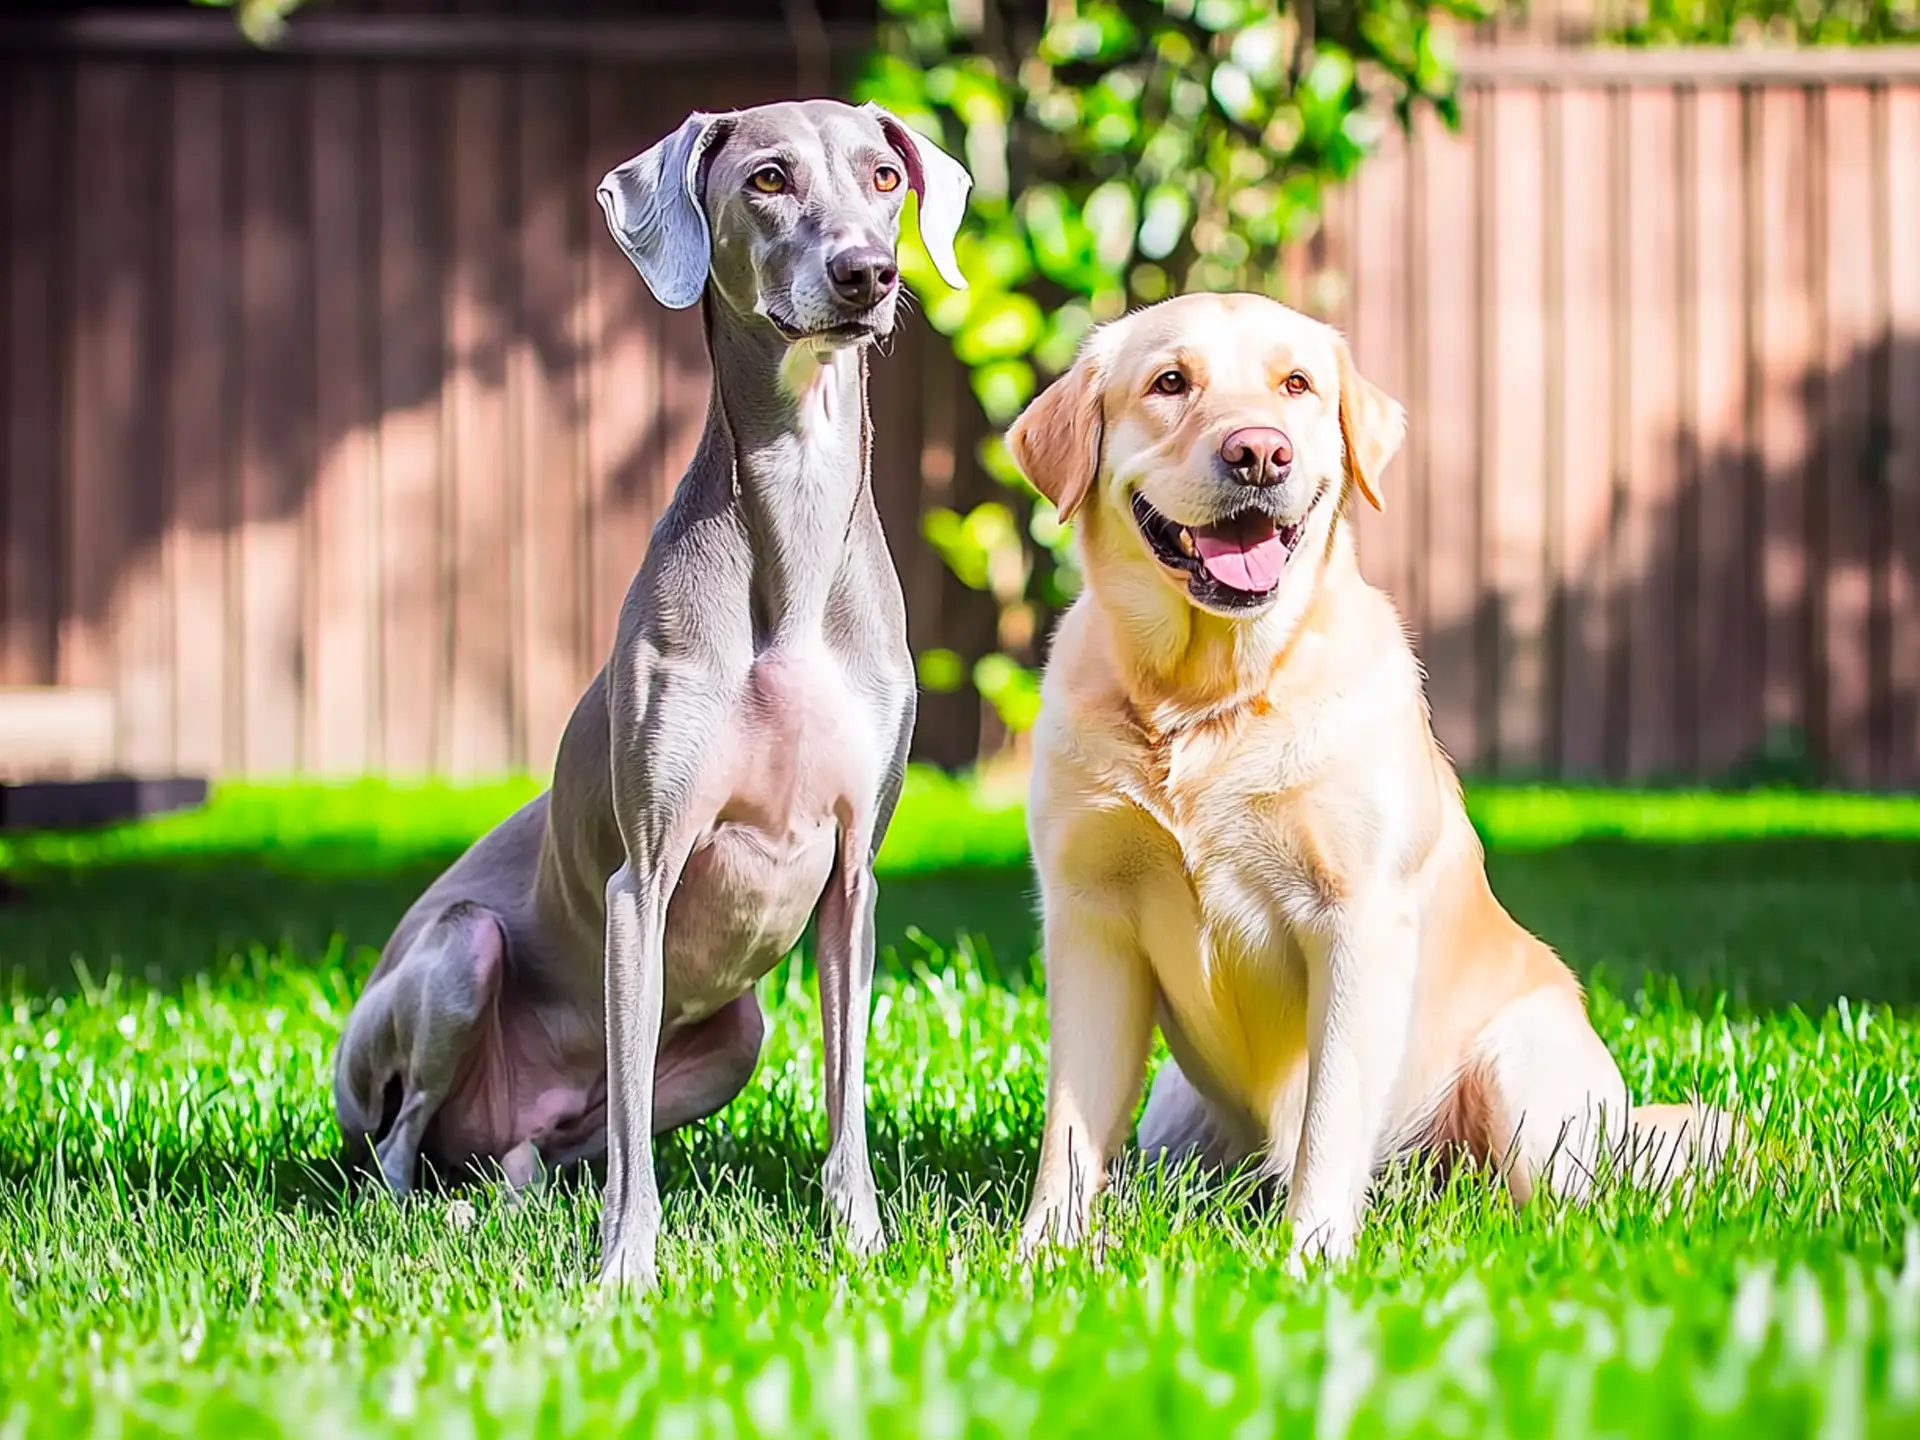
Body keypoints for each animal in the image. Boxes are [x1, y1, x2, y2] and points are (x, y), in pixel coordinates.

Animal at [334, 101, 975, 1297]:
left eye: (883, 177)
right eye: (767, 178)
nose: (866, 273)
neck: (792, 542)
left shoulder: (853, 877)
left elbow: (846, 1098)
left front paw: (863, 1242)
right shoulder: (645, 879)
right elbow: (636, 1137)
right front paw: (629, 1270)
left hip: (734, 1040)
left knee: (547, 1150)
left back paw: (513, 1192)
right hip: (453, 962)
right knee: (402, 1147)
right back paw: (434, 1212)